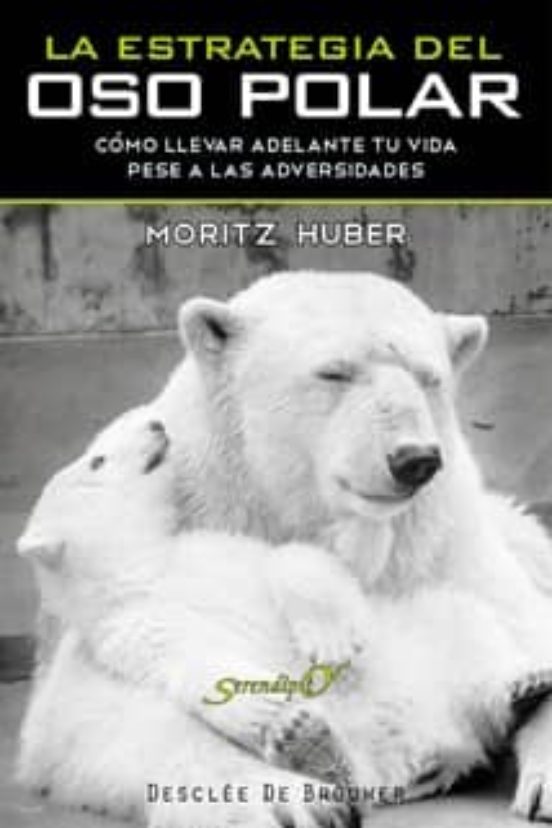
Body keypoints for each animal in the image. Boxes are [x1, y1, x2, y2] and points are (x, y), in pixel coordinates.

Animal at [17, 270, 552, 823]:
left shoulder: (439, 545)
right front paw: (285, 794)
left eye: (429, 377)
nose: (414, 459)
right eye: (334, 373)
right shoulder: (129, 600)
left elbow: (520, 623)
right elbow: (95, 716)